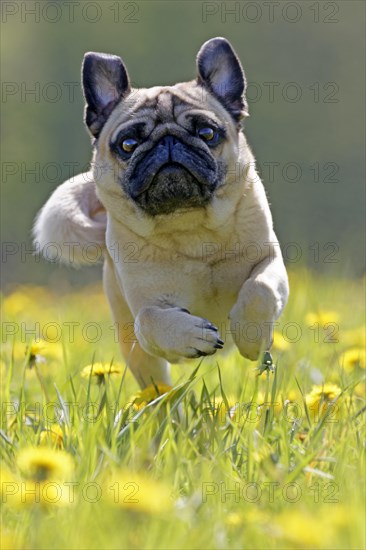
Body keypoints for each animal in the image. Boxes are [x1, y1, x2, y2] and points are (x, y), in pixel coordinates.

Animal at [35, 37, 292, 388]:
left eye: (207, 134)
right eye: (128, 144)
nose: (168, 143)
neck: (189, 226)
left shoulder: (269, 261)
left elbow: (259, 290)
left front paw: (251, 338)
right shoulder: (146, 309)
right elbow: (149, 320)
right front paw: (190, 336)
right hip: (132, 345)